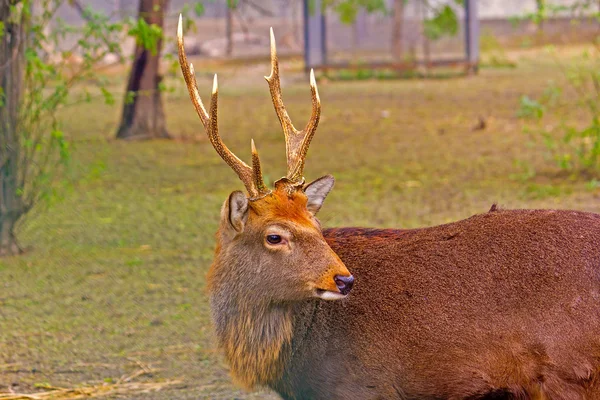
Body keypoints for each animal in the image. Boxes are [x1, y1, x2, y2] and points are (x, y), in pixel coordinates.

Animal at [176, 16, 600, 400]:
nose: (344, 280)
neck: (297, 368)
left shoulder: (360, 388)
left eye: (316, 224)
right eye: (274, 235)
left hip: (572, 372)